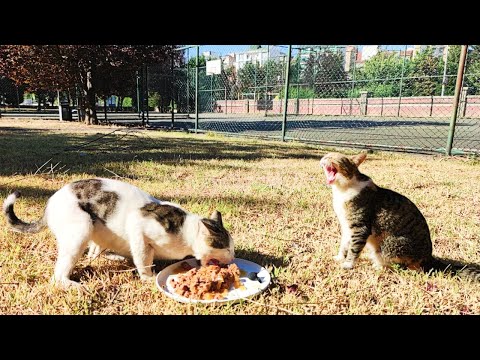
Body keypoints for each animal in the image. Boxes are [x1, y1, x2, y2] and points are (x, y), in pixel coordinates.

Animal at [1, 179, 234, 288]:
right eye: (226, 248)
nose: (232, 259)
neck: (187, 230)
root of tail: (49, 203)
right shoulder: (138, 226)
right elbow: (143, 259)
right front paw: (148, 278)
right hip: (81, 228)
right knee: (58, 276)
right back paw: (74, 286)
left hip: (96, 230)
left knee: (93, 253)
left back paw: (113, 256)